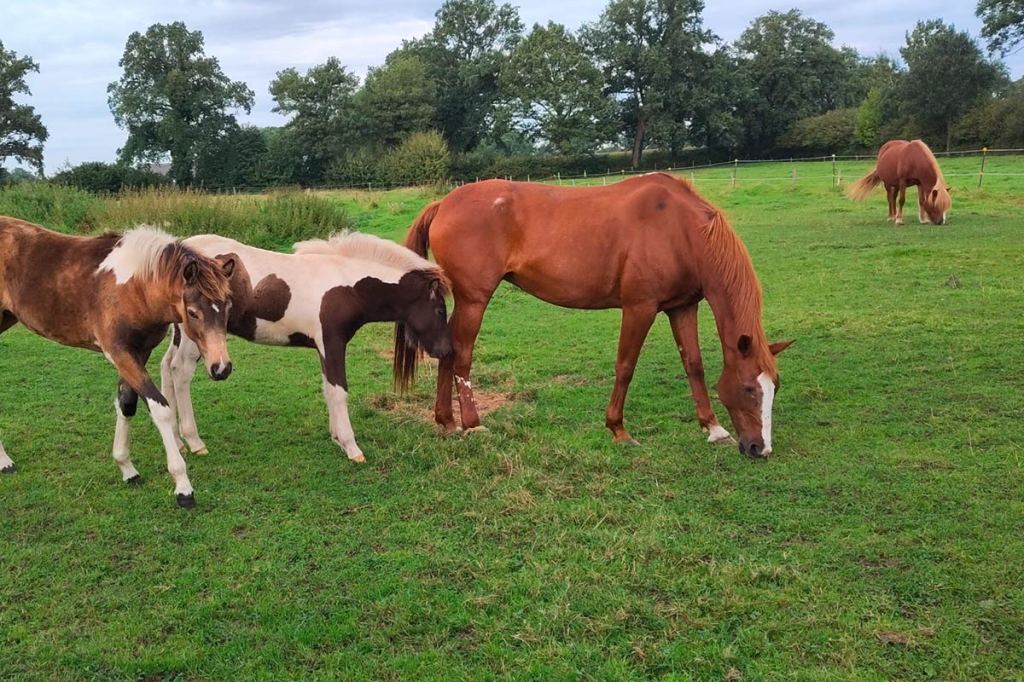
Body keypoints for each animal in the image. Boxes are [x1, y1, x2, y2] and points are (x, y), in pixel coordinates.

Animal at [0, 218, 234, 503]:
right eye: (193, 312)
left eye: (228, 306)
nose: (221, 367)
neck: (133, 288)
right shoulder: (119, 352)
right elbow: (160, 408)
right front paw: (183, 486)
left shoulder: (139, 352)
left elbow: (127, 402)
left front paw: (127, 469)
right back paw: (5, 461)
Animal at [160, 229, 452, 462]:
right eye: (440, 310)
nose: (446, 350)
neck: (348, 285)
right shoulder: (332, 342)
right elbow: (338, 391)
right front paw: (352, 447)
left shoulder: (323, 347)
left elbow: (328, 389)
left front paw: (336, 438)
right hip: (196, 338)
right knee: (180, 372)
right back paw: (194, 441)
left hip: (182, 333)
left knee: (166, 366)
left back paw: (176, 442)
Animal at [399, 173, 790, 454]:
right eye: (748, 389)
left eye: (775, 386)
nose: (760, 448)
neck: (679, 230)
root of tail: (443, 203)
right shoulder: (639, 308)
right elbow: (626, 366)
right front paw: (618, 429)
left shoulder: (682, 307)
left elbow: (693, 364)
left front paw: (713, 428)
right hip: (474, 300)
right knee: (462, 354)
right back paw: (472, 423)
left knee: (448, 351)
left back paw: (447, 422)